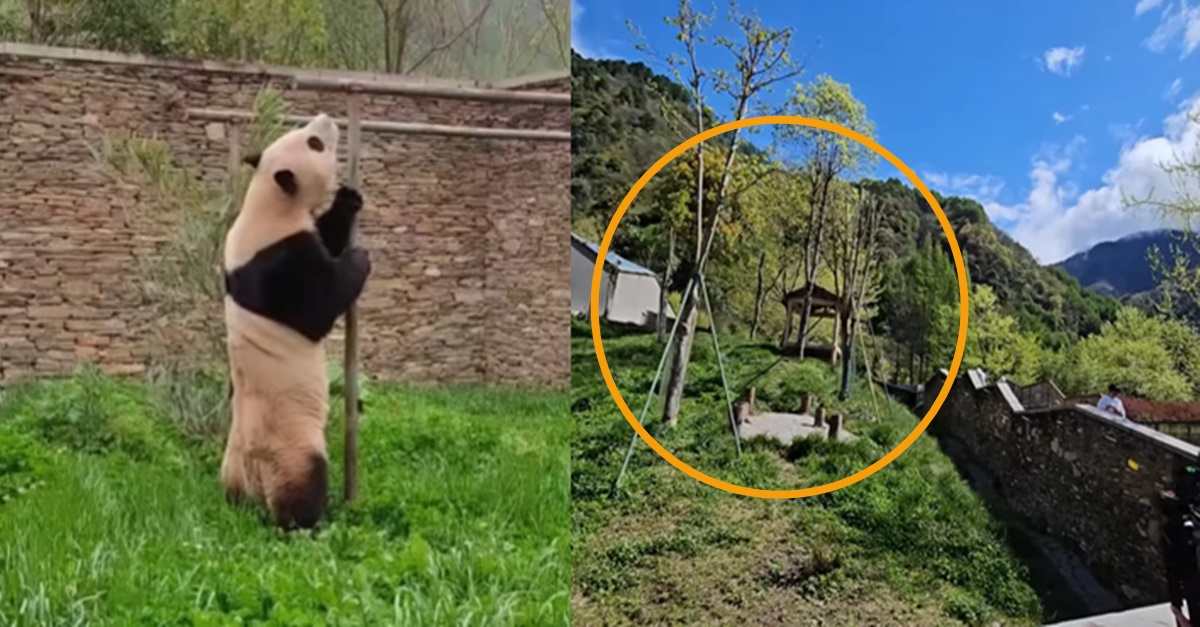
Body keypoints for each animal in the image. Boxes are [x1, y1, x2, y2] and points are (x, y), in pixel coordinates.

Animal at [218, 112, 369, 526]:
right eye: (314, 142)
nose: (327, 119)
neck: (267, 202)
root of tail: (254, 477)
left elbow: (328, 235)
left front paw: (347, 201)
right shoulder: (279, 261)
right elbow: (318, 307)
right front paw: (359, 258)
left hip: (231, 459)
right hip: (291, 441)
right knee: (305, 476)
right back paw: (305, 521)